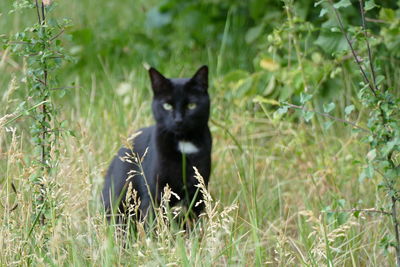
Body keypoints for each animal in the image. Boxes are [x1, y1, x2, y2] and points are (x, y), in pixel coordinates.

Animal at [101, 65, 211, 224]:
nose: (178, 120)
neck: (184, 143)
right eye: (167, 106)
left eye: (191, 105)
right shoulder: (155, 192)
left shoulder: (198, 190)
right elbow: (153, 221)